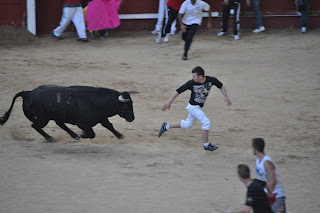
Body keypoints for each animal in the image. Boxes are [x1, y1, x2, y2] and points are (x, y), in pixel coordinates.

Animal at [0, 84, 139, 141]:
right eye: (126, 106)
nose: (132, 118)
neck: (95, 101)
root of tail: (28, 93)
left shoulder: (101, 118)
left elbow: (109, 126)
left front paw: (120, 135)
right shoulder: (82, 123)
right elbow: (92, 133)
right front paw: (83, 134)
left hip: (54, 116)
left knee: (60, 124)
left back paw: (74, 135)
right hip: (43, 118)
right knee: (35, 125)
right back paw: (50, 138)